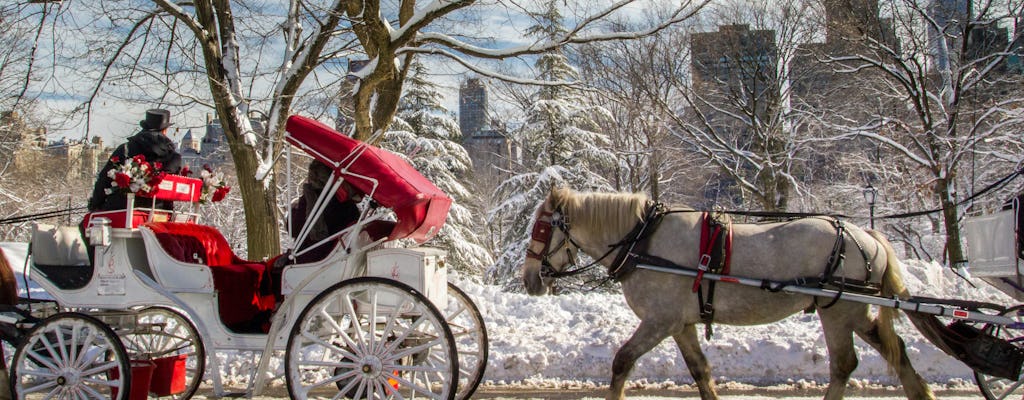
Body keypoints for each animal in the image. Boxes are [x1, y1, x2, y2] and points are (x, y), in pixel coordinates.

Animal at [524, 189, 946, 400]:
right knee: (894, 351)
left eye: (542, 229)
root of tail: (866, 234)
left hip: (838, 312)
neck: (643, 240)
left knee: (844, 365)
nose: (529, 280)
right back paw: (921, 392)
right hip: (855, 311)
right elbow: (700, 371)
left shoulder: (659, 321)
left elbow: (622, 362)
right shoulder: (680, 324)